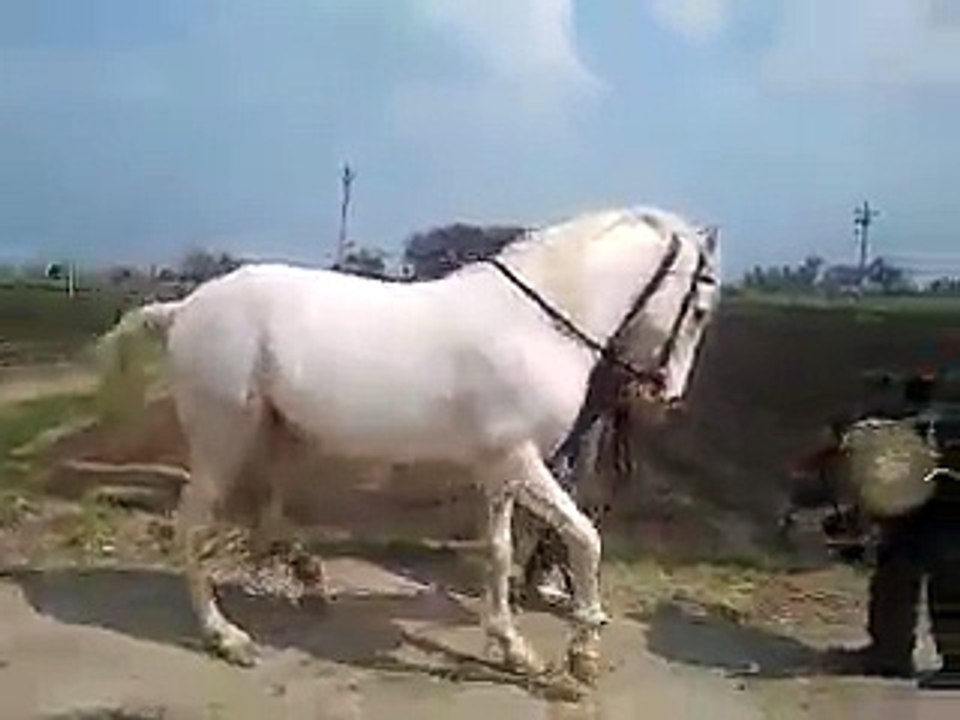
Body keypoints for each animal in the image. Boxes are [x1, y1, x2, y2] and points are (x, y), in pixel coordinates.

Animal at [97, 205, 720, 685]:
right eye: (699, 310)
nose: (667, 395)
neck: (537, 325)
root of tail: (185, 308)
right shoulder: (520, 459)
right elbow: (585, 537)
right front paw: (581, 656)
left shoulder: (498, 468)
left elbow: (497, 552)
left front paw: (513, 649)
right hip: (224, 435)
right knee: (194, 524)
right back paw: (225, 635)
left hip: (271, 432)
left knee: (265, 515)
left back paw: (306, 579)